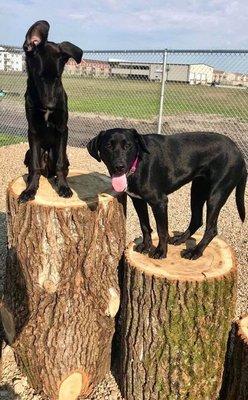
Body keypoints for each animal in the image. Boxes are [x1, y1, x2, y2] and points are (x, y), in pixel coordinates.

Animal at [19, 19, 83, 202]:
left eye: (58, 77)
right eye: (39, 77)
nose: (51, 106)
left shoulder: (62, 129)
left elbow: (60, 165)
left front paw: (63, 187)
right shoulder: (32, 131)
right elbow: (34, 166)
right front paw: (30, 190)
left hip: (61, 155)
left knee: (60, 167)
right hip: (30, 152)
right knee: (35, 167)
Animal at [87, 128, 246, 260]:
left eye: (128, 146)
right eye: (108, 146)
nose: (119, 166)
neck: (138, 163)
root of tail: (239, 151)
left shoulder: (160, 202)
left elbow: (162, 230)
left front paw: (160, 251)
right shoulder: (138, 200)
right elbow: (145, 226)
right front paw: (146, 246)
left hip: (216, 194)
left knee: (211, 229)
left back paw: (195, 251)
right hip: (197, 190)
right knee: (197, 219)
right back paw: (180, 239)